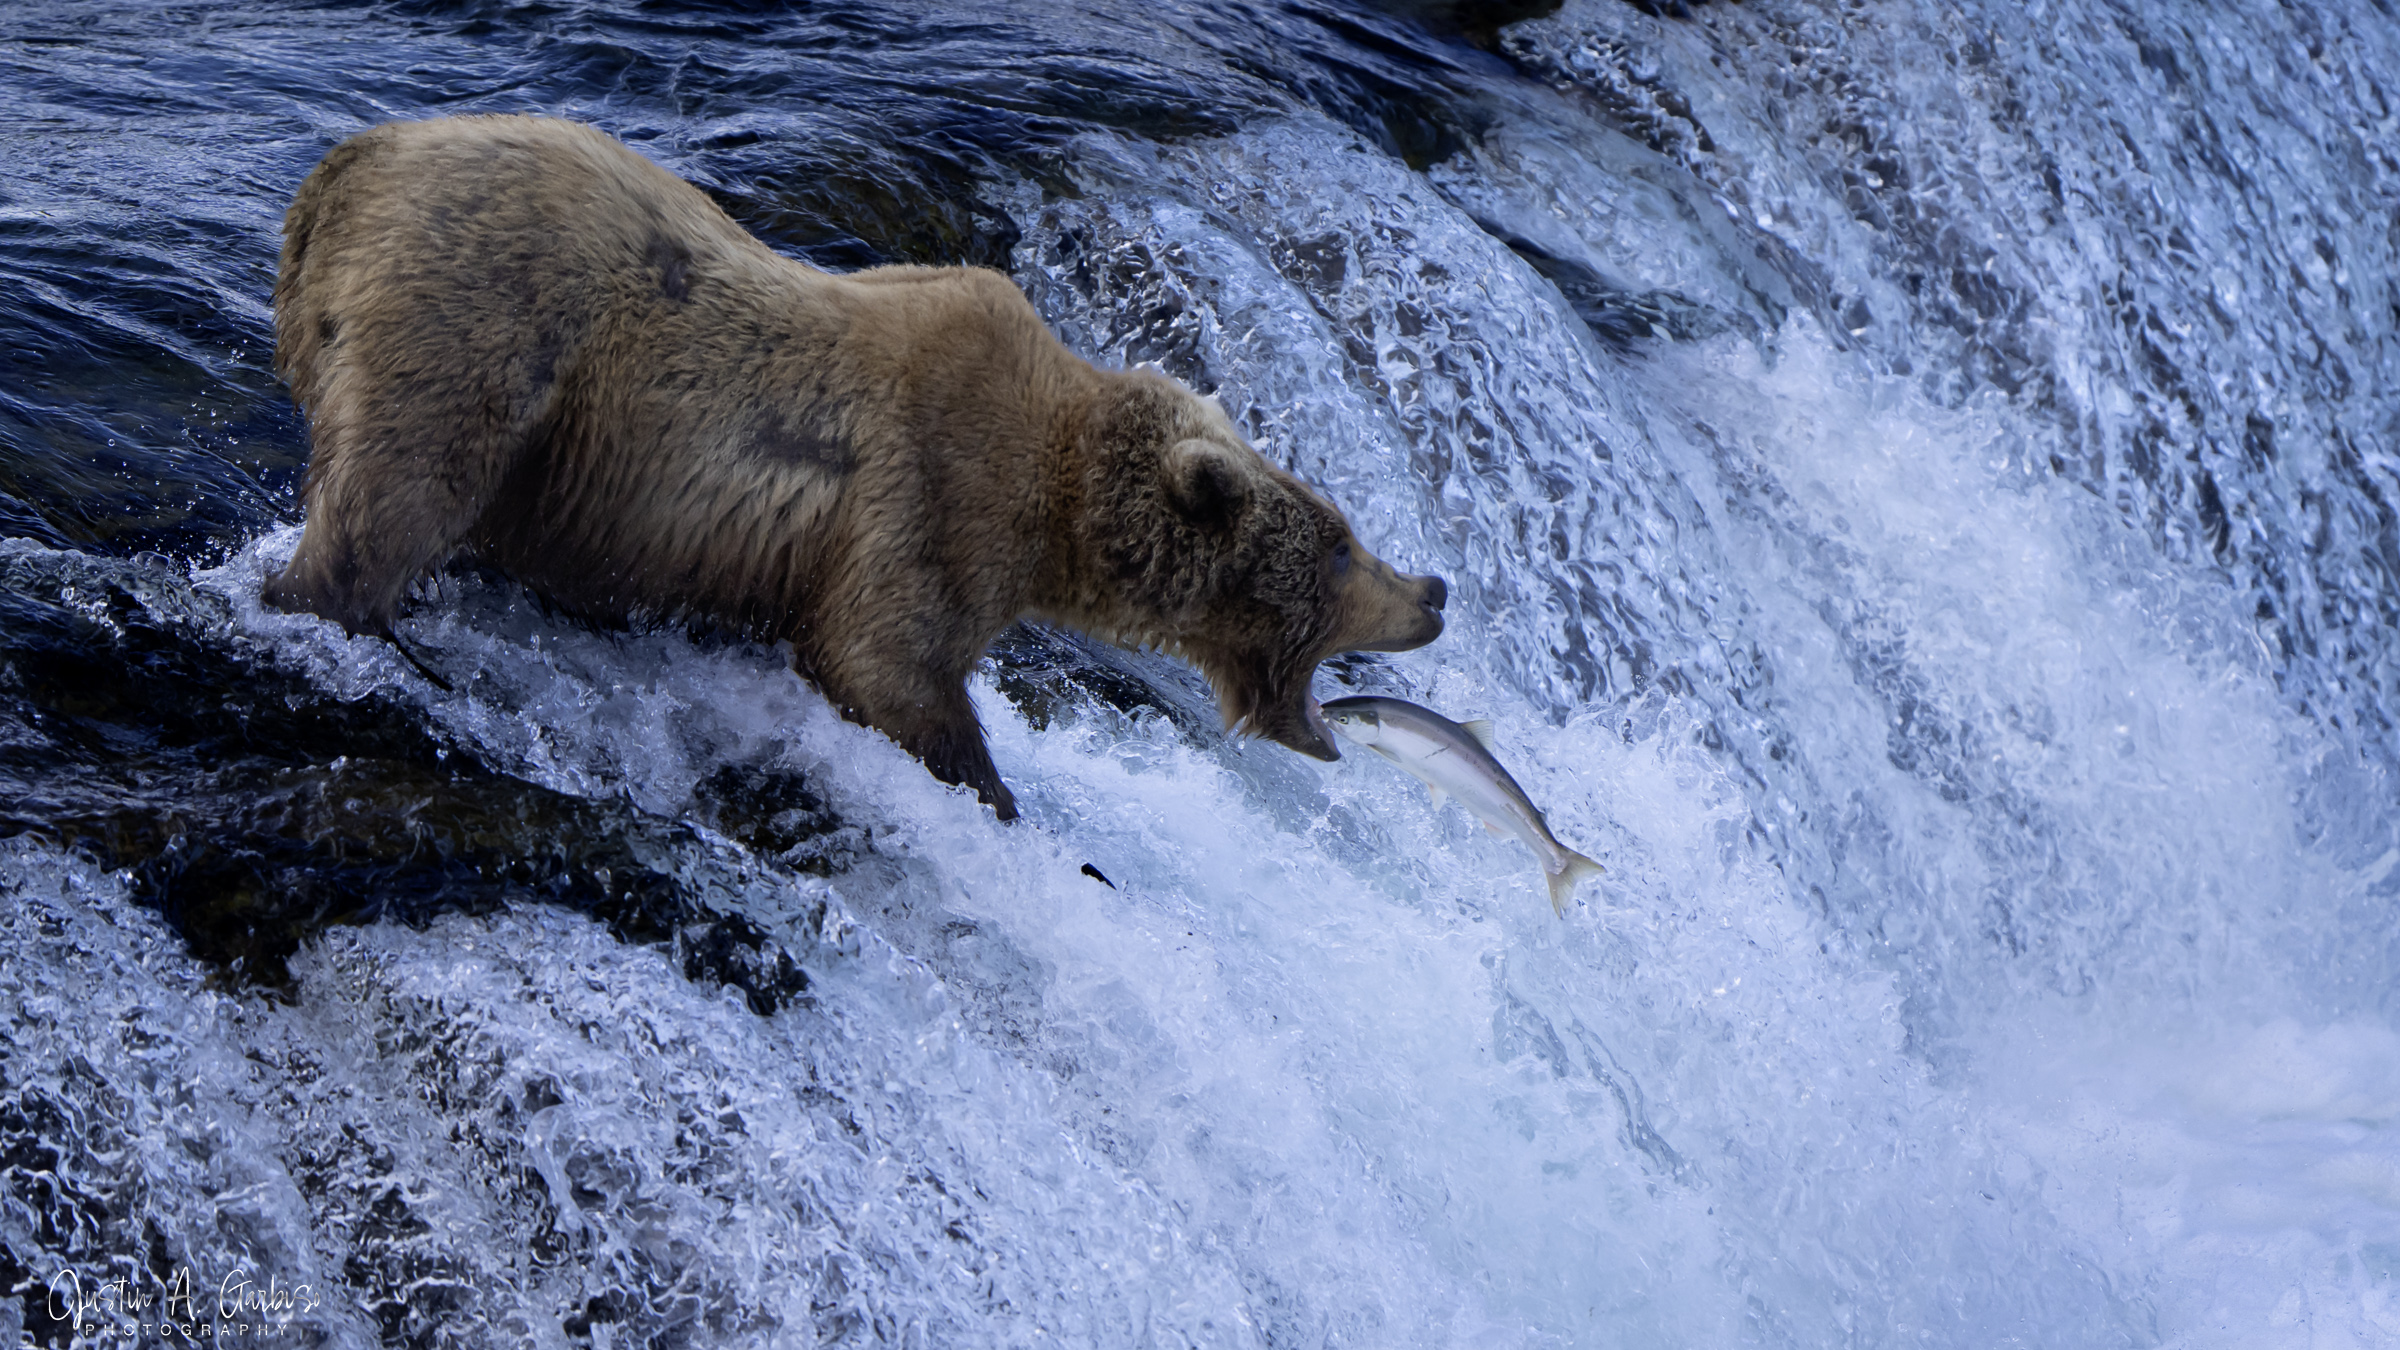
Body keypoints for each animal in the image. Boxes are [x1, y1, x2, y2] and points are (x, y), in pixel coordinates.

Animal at [262, 114, 1447, 821]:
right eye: (1342, 548)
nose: (1434, 590)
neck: (1064, 510)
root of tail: (345, 170)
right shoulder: (930, 486)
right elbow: (886, 660)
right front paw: (995, 793)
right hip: (486, 319)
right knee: (401, 491)